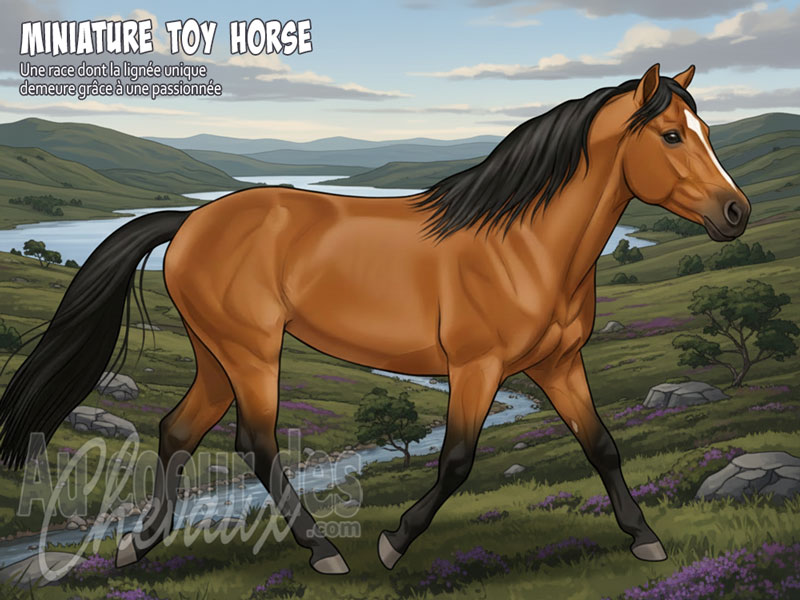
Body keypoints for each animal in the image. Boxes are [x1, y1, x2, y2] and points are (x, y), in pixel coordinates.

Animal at [0, 63, 750, 575]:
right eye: (672, 135)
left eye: (709, 132)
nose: (736, 212)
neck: (524, 246)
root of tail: (190, 221)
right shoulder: (476, 369)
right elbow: (456, 460)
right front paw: (394, 543)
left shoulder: (559, 364)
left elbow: (602, 446)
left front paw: (644, 536)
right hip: (251, 351)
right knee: (257, 443)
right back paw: (323, 550)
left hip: (217, 354)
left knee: (178, 431)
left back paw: (139, 545)